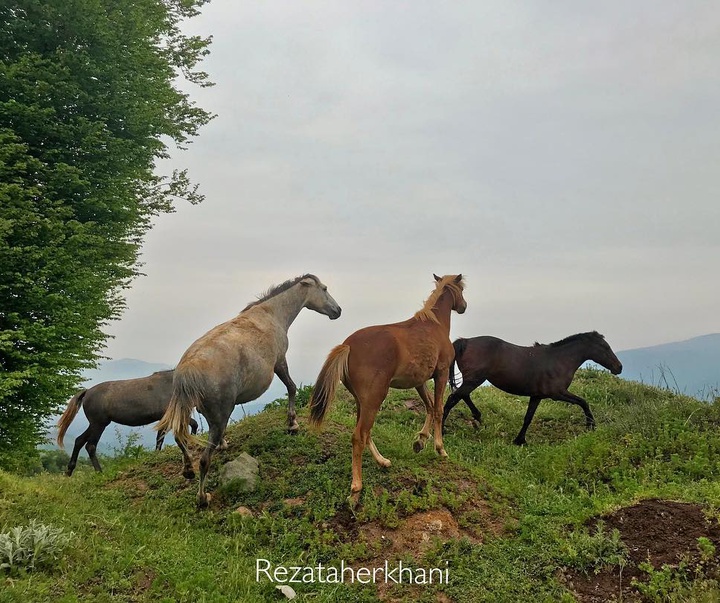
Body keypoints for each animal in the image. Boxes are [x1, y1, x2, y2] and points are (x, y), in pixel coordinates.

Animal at [56, 368, 198, 476]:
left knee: (79, 440)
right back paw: (99, 472)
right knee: (90, 446)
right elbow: (190, 426)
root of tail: (87, 392)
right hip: (98, 425)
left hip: (96, 424)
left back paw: (69, 470)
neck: (171, 386)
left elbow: (160, 439)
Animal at [156, 276, 342, 508]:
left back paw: (190, 468)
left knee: (181, 437)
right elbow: (291, 387)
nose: (338, 310)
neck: (270, 314)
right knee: (205, 459)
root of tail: (187, 371)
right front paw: (292, 423)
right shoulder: (280, 362)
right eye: (324, 289)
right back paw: (202, 497)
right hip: (220, 414)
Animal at [310, 276, 466, 508]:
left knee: (365, 433)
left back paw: (382, 461)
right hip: (375, 398)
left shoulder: (419, 380)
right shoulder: (442, 372)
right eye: (462, 289)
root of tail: (347, 346)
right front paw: (440, 448)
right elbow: (438, 409)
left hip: (363, 400)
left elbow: (429, 406)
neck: (434, 325)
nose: (464, 306)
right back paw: (356, 489)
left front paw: (420, 441)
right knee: (359, 435)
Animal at [442, 332, 620, 446]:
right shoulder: (557, 393)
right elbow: (583, 402)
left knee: (462, 396)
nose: (619, 367)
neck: (559, 360)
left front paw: (520, 440)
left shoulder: (537, 396)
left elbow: (528, 417)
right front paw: (591, 425)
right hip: (474, 380)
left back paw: (478, 416)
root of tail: (465, 341)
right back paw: (442, 430)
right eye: (605, 347)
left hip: (472, 380)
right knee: (452, 399)